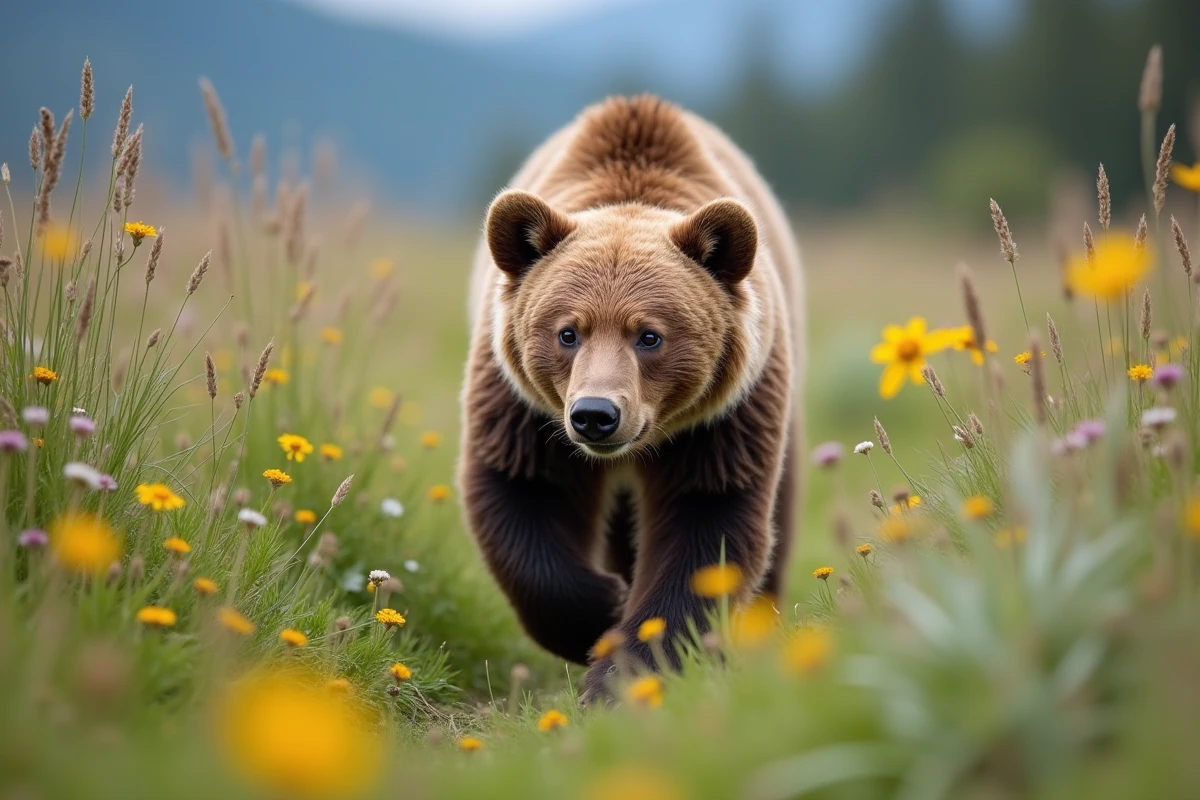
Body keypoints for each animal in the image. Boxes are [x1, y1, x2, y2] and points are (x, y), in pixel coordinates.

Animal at [458, 95, 803, 701]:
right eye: (567, 332)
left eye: (649, 336)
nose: (595, 415)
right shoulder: (520, 407)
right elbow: (522, 489)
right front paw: (602, 608)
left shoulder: (722, 423)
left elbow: (705, 527)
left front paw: (622, 675)